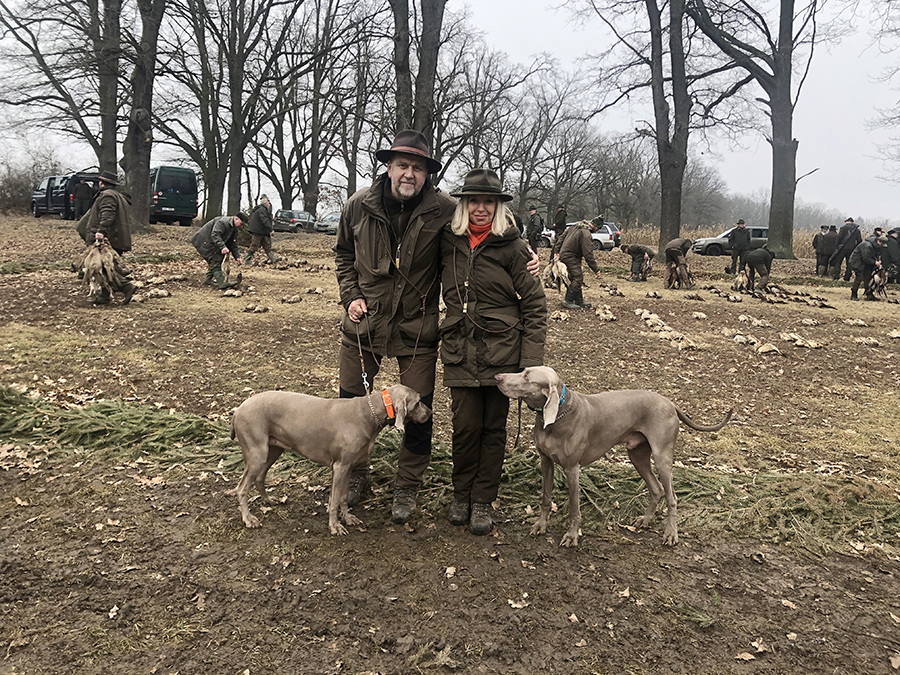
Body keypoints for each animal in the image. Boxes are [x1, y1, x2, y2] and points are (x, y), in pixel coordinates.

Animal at [230, 388, 430, 536]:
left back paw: (270, 500)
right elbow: (333, 501)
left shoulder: (348, 466)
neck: (369, 412)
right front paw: (335, 526)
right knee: (241, 488)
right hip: (258, 453)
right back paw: (249, 519)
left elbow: (342, 496)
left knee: (259, 478)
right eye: (418, 402)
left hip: (272, 450)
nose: (430, 412)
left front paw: (348, 518)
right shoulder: (340, 466)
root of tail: (237, 410)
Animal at [492, 368, 732, 548]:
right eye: (523, 370)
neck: (558, 415)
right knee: (656, 489)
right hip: (637, 454)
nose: (497, 377)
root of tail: (670, 402)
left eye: (527, 376)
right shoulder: (546, 461)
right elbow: (545, 498)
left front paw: (572, 536)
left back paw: (671, 534)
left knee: (671, 496)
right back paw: (645, 520)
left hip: (662, 455)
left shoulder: (572, 468)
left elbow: (574, 507)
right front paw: (540, 525)